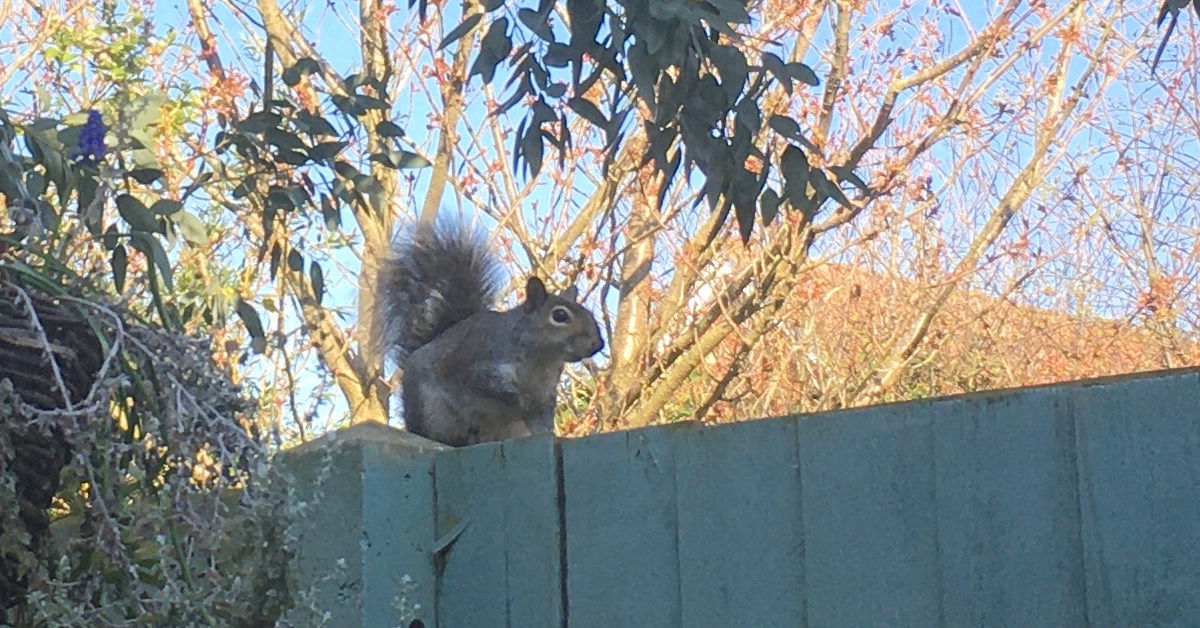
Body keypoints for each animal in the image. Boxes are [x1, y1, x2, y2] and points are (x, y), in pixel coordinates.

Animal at [369, 222, 604, 446]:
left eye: (589, 313)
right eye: (560, 315)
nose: (598, 344)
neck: (540, 362)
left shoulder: (545, 398)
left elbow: (541, 423)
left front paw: (549, 434)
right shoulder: (473, 363)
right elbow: (484, 384)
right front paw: (513, 396)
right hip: (430, 412)